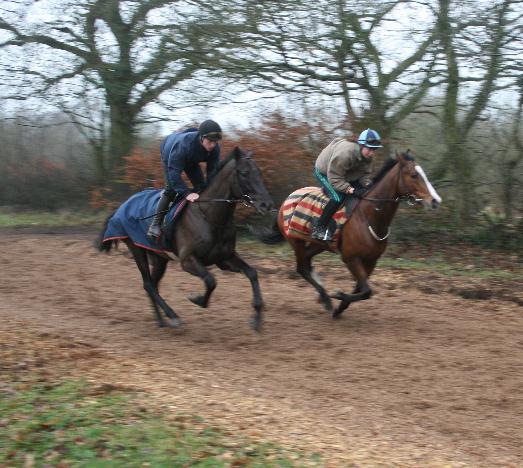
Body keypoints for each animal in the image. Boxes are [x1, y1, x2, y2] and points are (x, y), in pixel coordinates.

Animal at [95, 148, 274, 330]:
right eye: (244, 173)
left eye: (259, 172)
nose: (266, 204)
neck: (210, 217)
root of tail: (121, 206)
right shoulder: (187, 260)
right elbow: (211, 280)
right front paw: (197, 299)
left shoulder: (224, 258)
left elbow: (252, 273)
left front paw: (256, 317)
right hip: (137, 249)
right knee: (148, 284)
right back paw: (172, 316)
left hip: (159, 257)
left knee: (153, 284)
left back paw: (161, 321)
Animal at [258, 150, 442, 318]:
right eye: (414, 175)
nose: (435, 201)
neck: (369, 215)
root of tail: (287, 200)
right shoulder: (350, 258)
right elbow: (366, 290)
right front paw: (337, 295)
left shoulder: (371, 260)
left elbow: (362, 288)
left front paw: (340, 306)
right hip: (296, 241)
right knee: (302, 268)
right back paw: (326, 298)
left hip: (318, 244)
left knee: (308, 262)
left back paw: (323, 297)